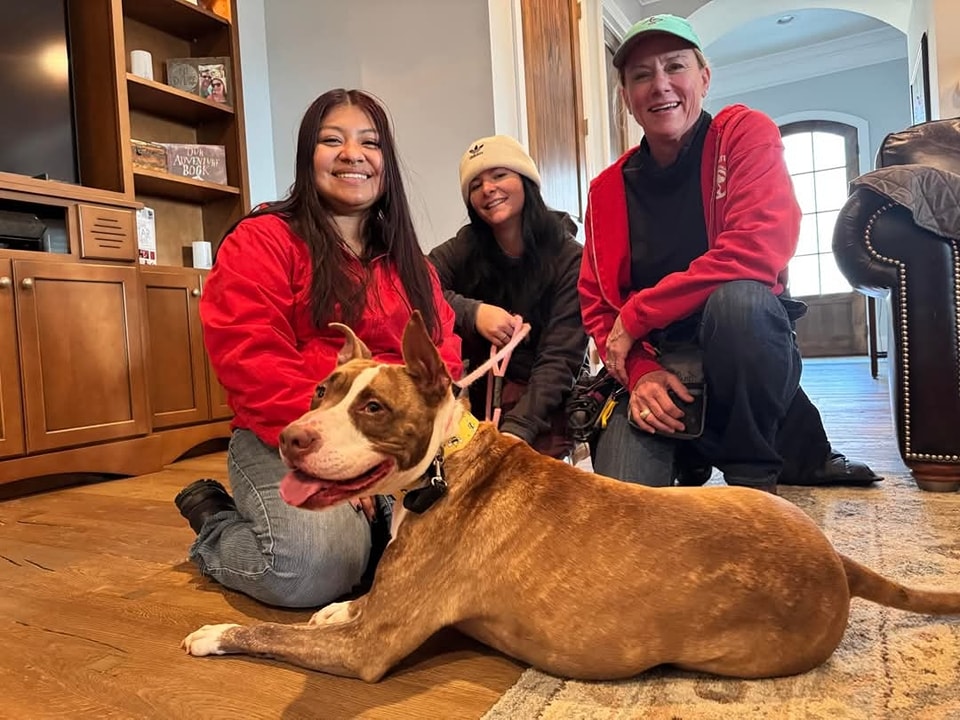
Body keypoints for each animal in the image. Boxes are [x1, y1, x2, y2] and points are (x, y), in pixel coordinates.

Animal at [182, 310, 960, 680]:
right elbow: (360, 601)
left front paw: (215, 632)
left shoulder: (369, 649)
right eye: (322, 391)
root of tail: (836, 561)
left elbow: (273, 632)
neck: (447, 464)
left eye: (372, 408)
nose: (291, 437)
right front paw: (337, 604)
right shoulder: (386, 611)